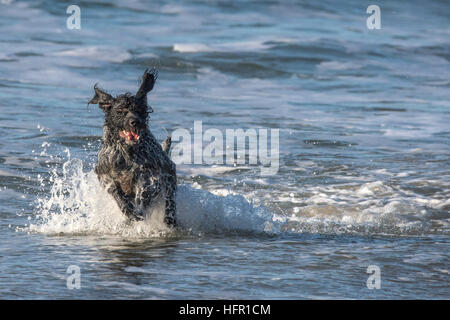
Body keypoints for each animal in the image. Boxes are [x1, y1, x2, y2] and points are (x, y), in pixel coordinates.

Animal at [88, 69, 178, 225]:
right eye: (120, 110)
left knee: (169, 200)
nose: (135, 122)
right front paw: (130, 211)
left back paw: (169, 218)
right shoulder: (105, 174)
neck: (126, 152)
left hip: (169, 175)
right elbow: (117, 193)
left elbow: (144, 189)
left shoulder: (151, 174)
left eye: (139, 110)